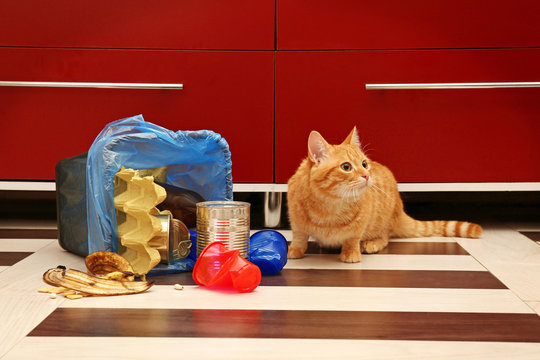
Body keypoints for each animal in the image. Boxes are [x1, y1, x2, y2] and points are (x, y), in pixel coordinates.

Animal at [286, 128, 480, 262]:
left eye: (364, 164)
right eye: (346, 167)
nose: (367, 175)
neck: (329, 206)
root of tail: (400, 210)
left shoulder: (360, 224)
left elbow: (352, 238)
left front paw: (351, 253)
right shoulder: (296, 222)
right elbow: (299, 238)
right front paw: (294, 251)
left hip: (383, 221)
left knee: (386, 238)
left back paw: (371, 243)